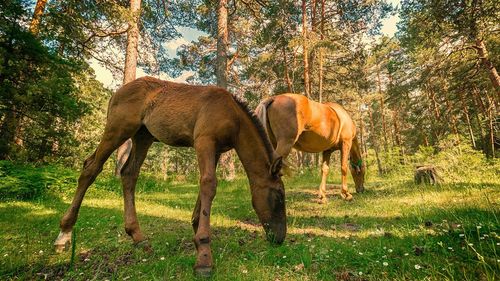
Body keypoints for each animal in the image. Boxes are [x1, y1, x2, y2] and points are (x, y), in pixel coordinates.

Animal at [54, 76, 286, 276]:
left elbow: (204, 187)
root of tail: (117, 92)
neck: (233, 115)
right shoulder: (204, 141)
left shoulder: (216, 150)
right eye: (279, 196)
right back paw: (64, 234)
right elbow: (209, 184)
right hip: (118, 129)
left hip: (143, 136)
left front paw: (196, 229)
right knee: (91, 168)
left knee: (129, 174)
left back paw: (138, 237)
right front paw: (203, 255)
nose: (280, 238)